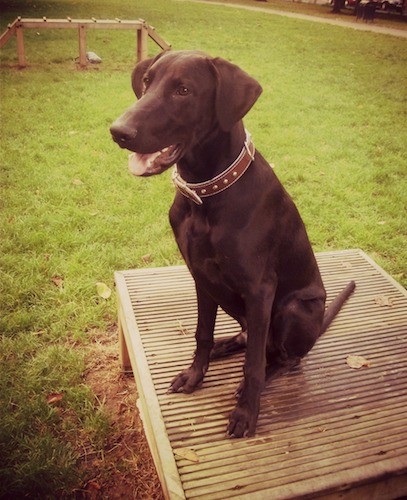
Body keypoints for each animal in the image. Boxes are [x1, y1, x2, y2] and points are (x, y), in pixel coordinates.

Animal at [110, 50, 356, 438]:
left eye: (183, 90)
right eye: (147, 82)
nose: (119, 131)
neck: (206, 192)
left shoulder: (260, 289)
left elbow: (254, 364)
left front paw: (245, 412)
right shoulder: (201, 276)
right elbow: (202, 334)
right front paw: (195, 375)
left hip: (295, 309)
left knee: (283, 358)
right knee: (250, 337)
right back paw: (227, 345)